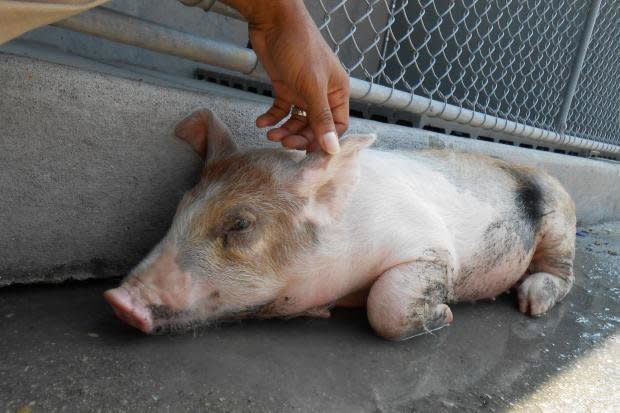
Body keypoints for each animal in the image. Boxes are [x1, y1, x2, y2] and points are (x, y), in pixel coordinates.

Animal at [103, 108, 576, 340]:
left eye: (239, 224)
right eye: (181, 206)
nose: (118, 300)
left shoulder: (431, 248)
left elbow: (385, 304)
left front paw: (446, 314)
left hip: (561, 221)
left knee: (562, 273)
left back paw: (531, 302)